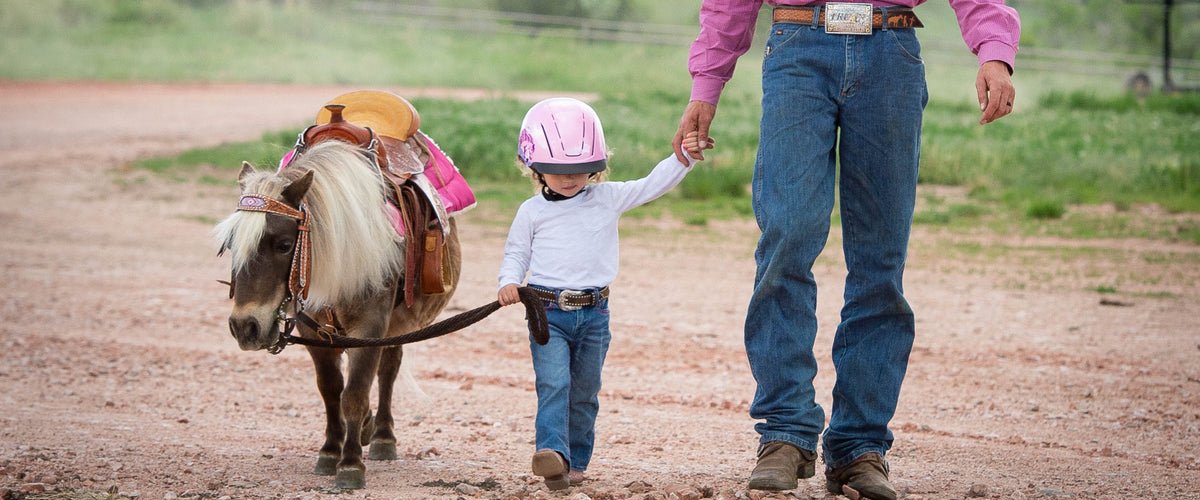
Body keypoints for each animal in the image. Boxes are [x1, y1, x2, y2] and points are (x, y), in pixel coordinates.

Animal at [213, 140, 460, 486]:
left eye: (285, 244)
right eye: (230, 244)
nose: (244, 327)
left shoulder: (370, 326)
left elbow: (355, 393)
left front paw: (351, 465)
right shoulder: (313, 330)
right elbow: (331, 390)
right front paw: (330, 452)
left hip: (399, 324)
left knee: (388, 371)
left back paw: (382, 436)